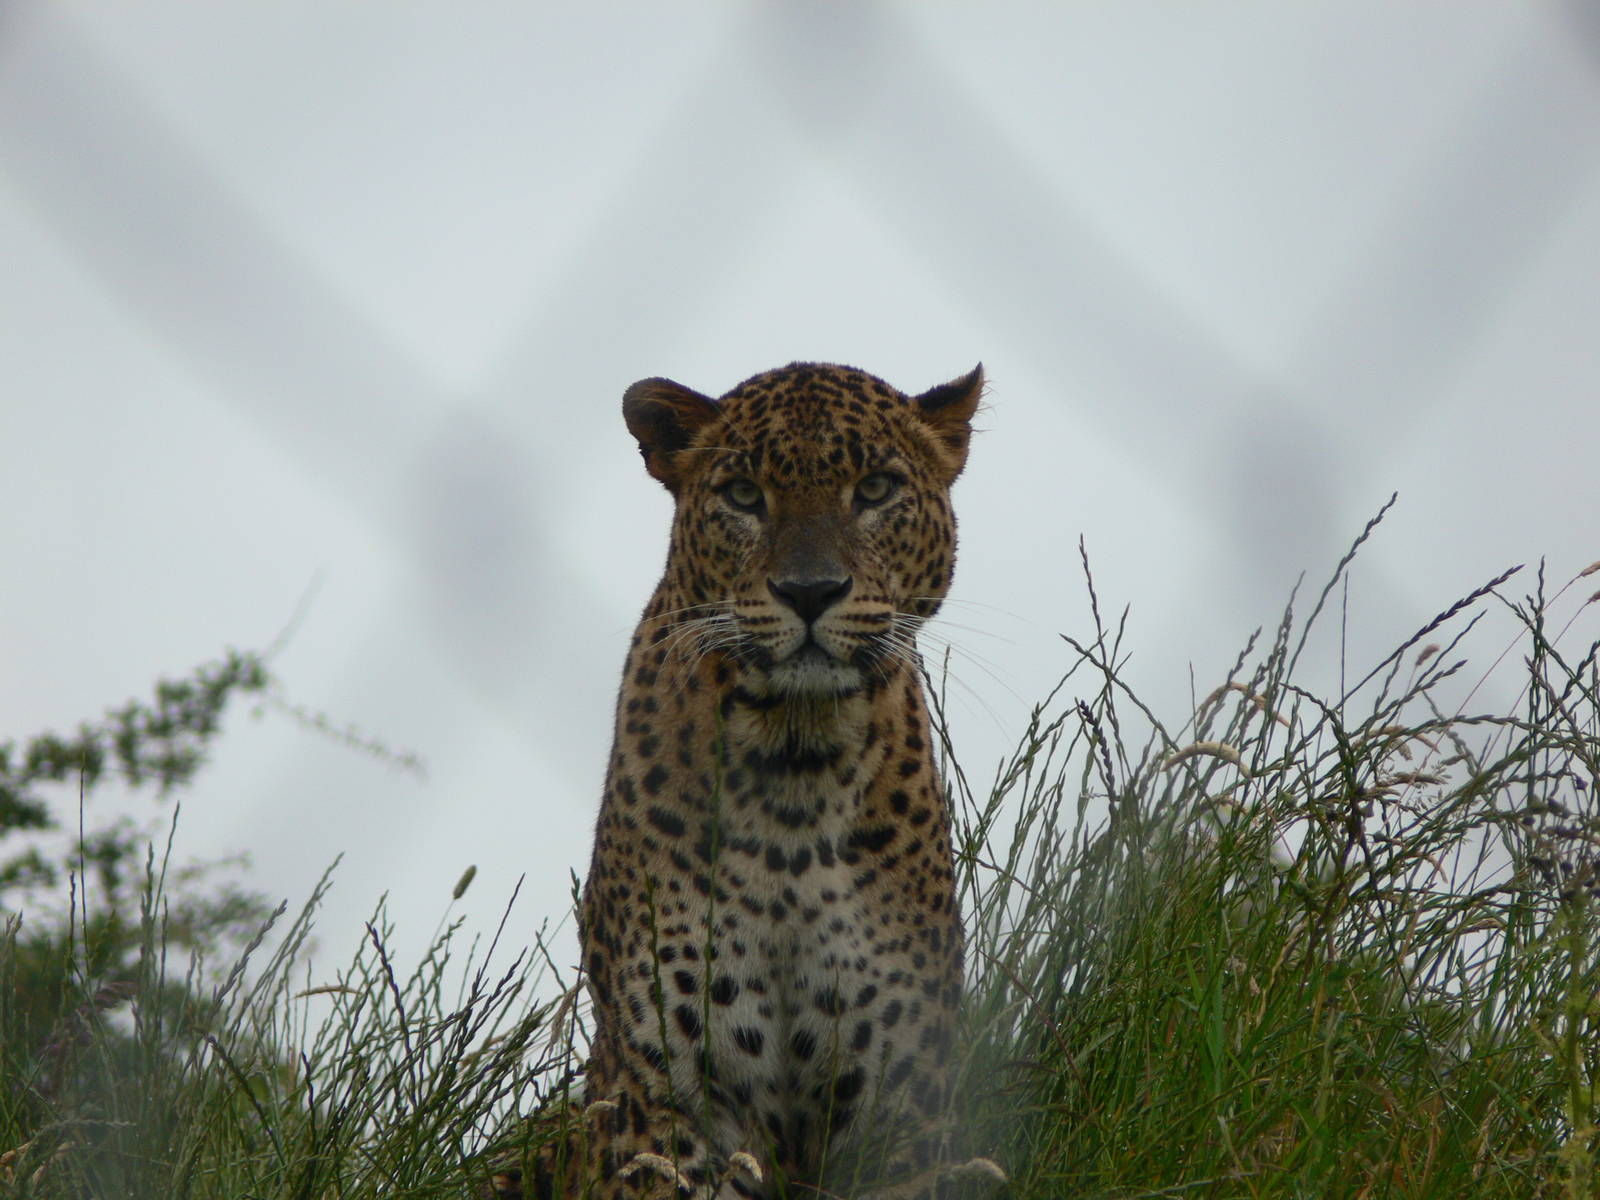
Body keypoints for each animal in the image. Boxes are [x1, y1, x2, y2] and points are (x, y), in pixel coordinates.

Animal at [549, 361, 986, 1200]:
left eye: (875, 488)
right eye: (745, 496)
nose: (810, 590)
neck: (796, 769)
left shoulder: (900, 1099)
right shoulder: (667, 1097)